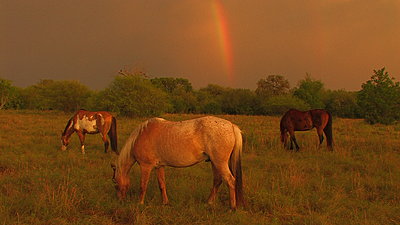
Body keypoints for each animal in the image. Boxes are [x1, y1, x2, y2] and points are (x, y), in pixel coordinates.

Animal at [111, 117, 245, 210]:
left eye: (116, 184)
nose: (120, 201)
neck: (142, 135)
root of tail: (231, 126)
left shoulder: (146, 167)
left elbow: (143, 186)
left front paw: (140, 203)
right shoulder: (159, 166)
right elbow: (162, 185)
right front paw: (165, 203)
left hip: (219, 163)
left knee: (230, 181)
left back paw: (232, 208)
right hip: (215, 162)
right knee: (217, 180)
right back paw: (209, 203)